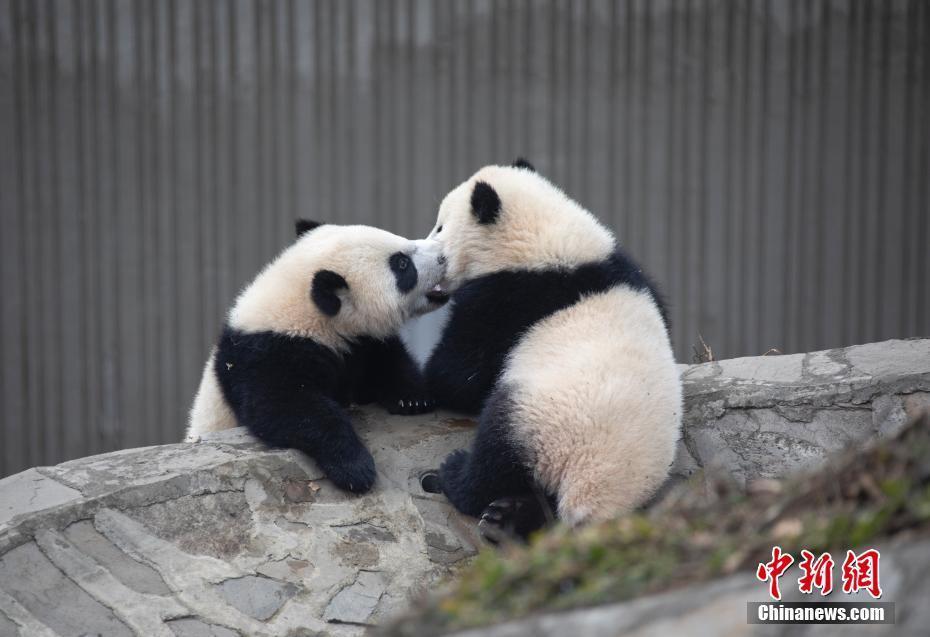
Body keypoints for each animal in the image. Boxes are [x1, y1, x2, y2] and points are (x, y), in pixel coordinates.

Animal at [186, 221, 450, 494]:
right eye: (402, 264)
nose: (443, 255)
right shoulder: (263, 356)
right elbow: (287, 408)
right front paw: (355, 469)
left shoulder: (358, 343)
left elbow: (385, 358)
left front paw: (413, 398)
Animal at [422, 161, 680, 540]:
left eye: (440, 226)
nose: (426, 255)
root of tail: (595, 493)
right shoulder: (632, 271)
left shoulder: (507, 301)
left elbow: (460, 374)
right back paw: (507, 518)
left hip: (538, 418)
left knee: (497, 454)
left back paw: (458, 477)